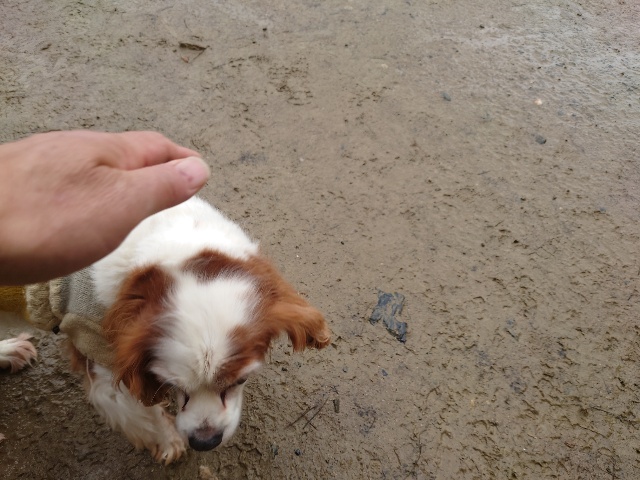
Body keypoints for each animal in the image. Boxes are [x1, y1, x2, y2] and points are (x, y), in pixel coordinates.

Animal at [8, 196, 330, 463]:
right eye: (172, 384)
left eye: (240, 381)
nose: (204, 442)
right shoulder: (96, 349)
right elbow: (142, 413)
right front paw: (169, 442)